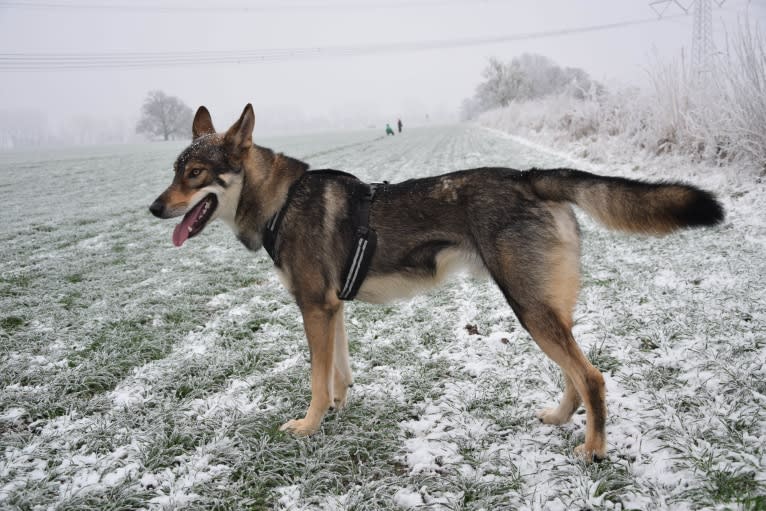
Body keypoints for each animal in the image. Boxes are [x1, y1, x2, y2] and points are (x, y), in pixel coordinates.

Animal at [148, 105, 728, 464]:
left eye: (196, 174)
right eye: (174, 171)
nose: (153, 207)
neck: (280, 201)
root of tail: (529, 176)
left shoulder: (314, 308)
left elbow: (315, 379)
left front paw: (309, 426)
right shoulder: (333, 309)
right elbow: (338, 374)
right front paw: (336, 411)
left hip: (528, 307)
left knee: (592, 376)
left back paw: (594, 450)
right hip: (543, 308)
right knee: (577, 374)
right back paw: (563, 418)